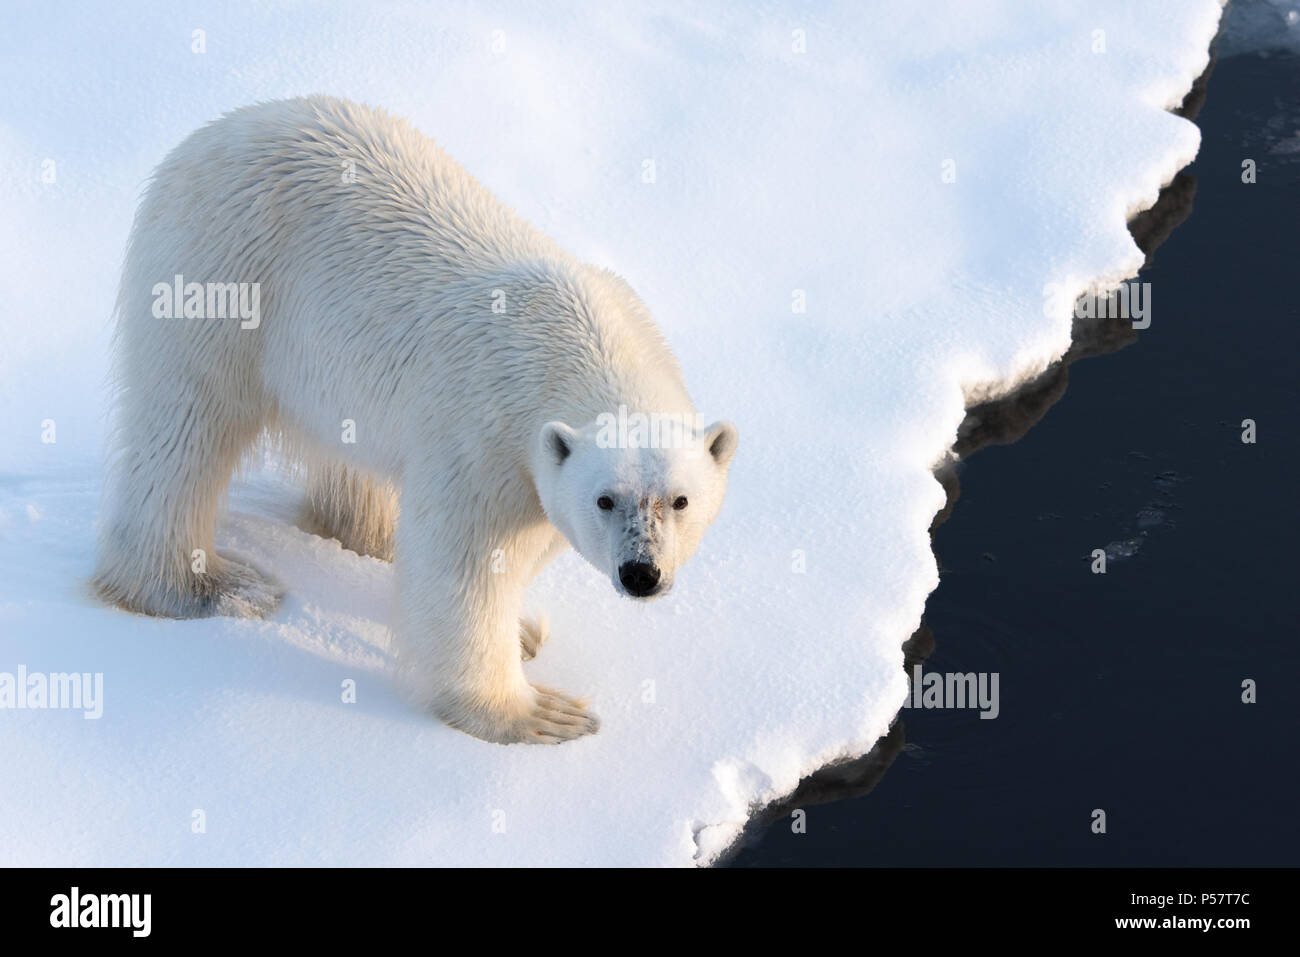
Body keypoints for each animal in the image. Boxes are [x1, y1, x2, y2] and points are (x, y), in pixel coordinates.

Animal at [92, 97, 743, 743]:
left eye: (679, 500)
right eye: (606, 499)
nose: (641, 573)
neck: (580, 338)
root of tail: (216, 132)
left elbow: (520, 544)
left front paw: (522, 631)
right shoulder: (485, 432)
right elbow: (466, 564)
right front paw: (537, 714)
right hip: (221, 278)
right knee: (186, 430)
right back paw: (204, 587)